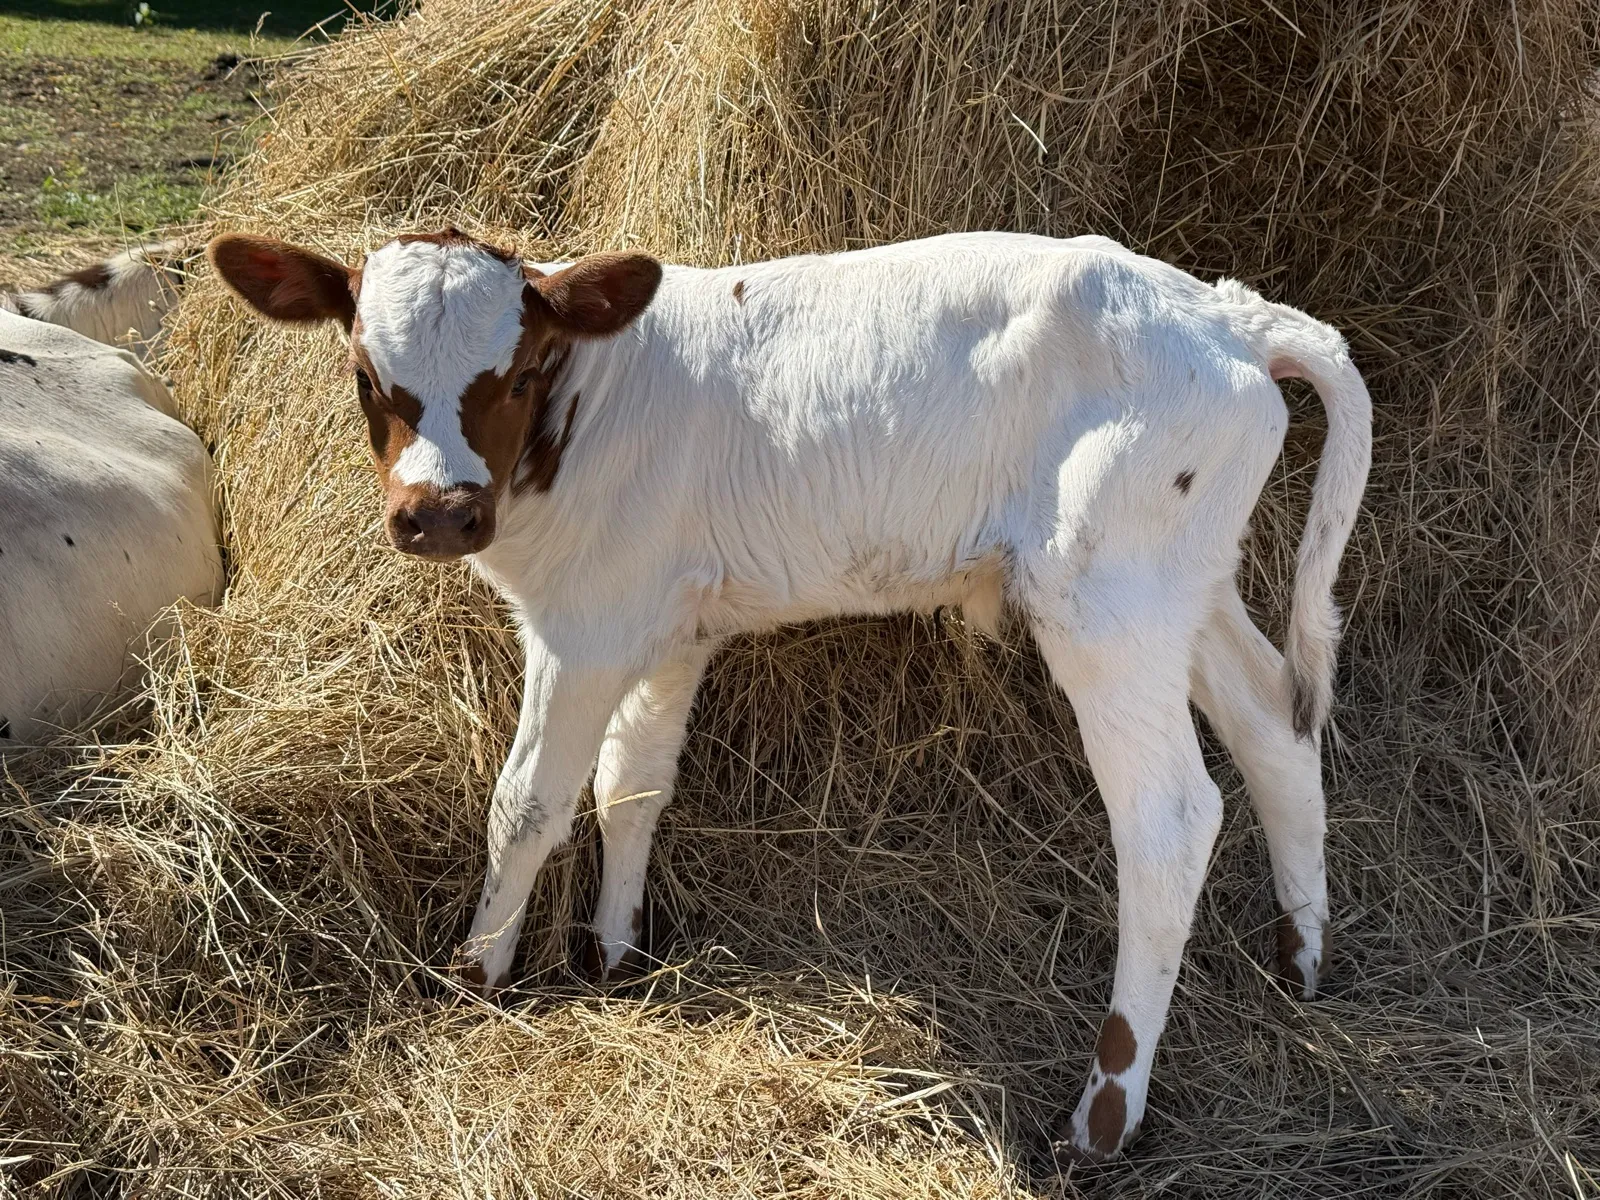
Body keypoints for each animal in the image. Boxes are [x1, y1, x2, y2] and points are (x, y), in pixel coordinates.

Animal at [207, 226, 1371, 1163]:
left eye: (523, 367)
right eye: (365, 371)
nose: (440, 513)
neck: (586, 416)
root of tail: (1224, 311)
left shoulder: (584, 629)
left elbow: (529, 802)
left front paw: (476, 973)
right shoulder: (666, 626)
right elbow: (632, 785)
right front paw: (613, 956)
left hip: (1107, 601)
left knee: (1170, 818)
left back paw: (1102, 1114)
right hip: (1186, 585)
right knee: (1274, 724)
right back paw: (1300, 959)